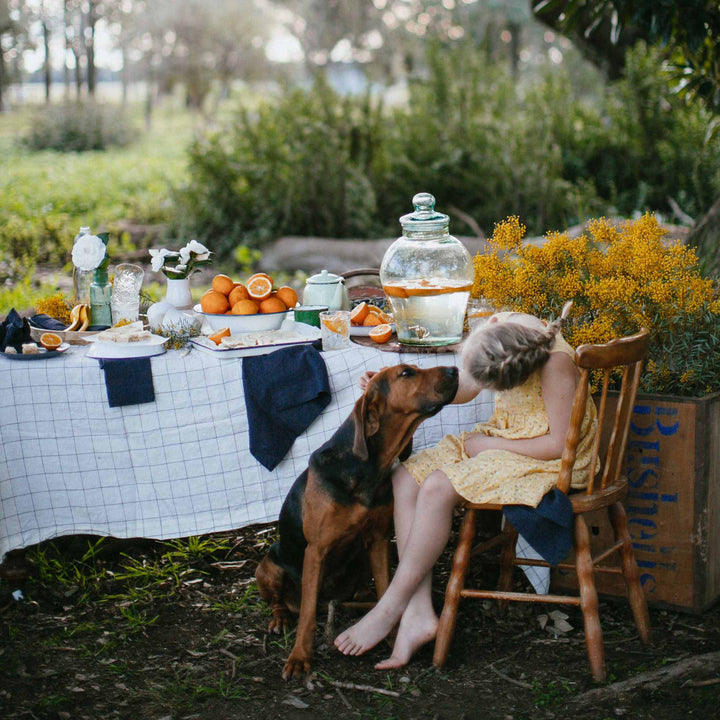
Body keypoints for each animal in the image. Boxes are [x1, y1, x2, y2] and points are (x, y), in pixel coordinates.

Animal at [255, 362, 456, 676]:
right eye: (406, 373)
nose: (456, 370)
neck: (368, 468)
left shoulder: (378, 540)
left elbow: (386, 589)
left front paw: (390, 636)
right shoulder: (316, 550)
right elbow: (308, 615)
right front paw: (300, 657)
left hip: (360, 559)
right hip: (268, 566)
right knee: (282, 603)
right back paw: (280, 618)